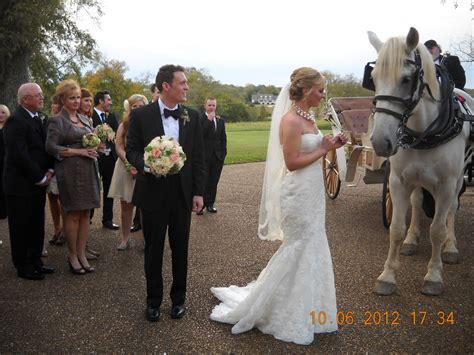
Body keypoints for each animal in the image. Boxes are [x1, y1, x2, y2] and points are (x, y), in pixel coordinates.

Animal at [368, 27, 472, 296]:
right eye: (373, 77)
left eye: (406, 79)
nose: (381, 141)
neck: (425, 132)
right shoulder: (398, 181)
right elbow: (395, 228)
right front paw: (387, 276)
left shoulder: (446, 185)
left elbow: (437, 230)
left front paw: (434, 276)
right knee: (416, 204)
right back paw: (412, 239)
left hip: (459, 179)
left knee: (452, 211)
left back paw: (451, 247)